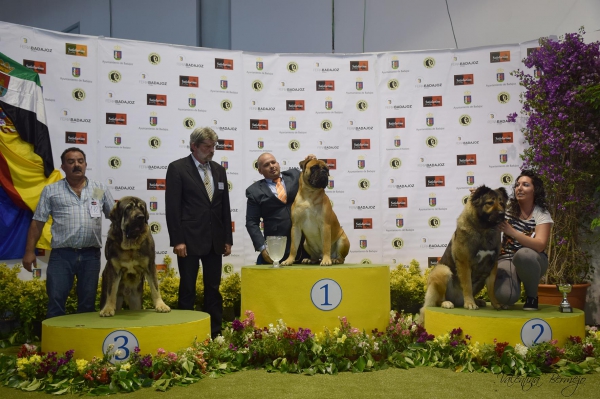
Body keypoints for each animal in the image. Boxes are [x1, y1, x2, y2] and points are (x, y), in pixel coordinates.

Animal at [420, 187, 508, 322]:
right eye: (490, 203)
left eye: (502, 203)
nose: (501, 213)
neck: (484, 229)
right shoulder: (464, 263)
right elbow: (467, 285)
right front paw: (470, 303)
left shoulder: (492, 265)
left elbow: (491, 289)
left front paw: (496, 304)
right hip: (443, 271)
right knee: (438, 300)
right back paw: (447, 303)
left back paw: (477, 301)